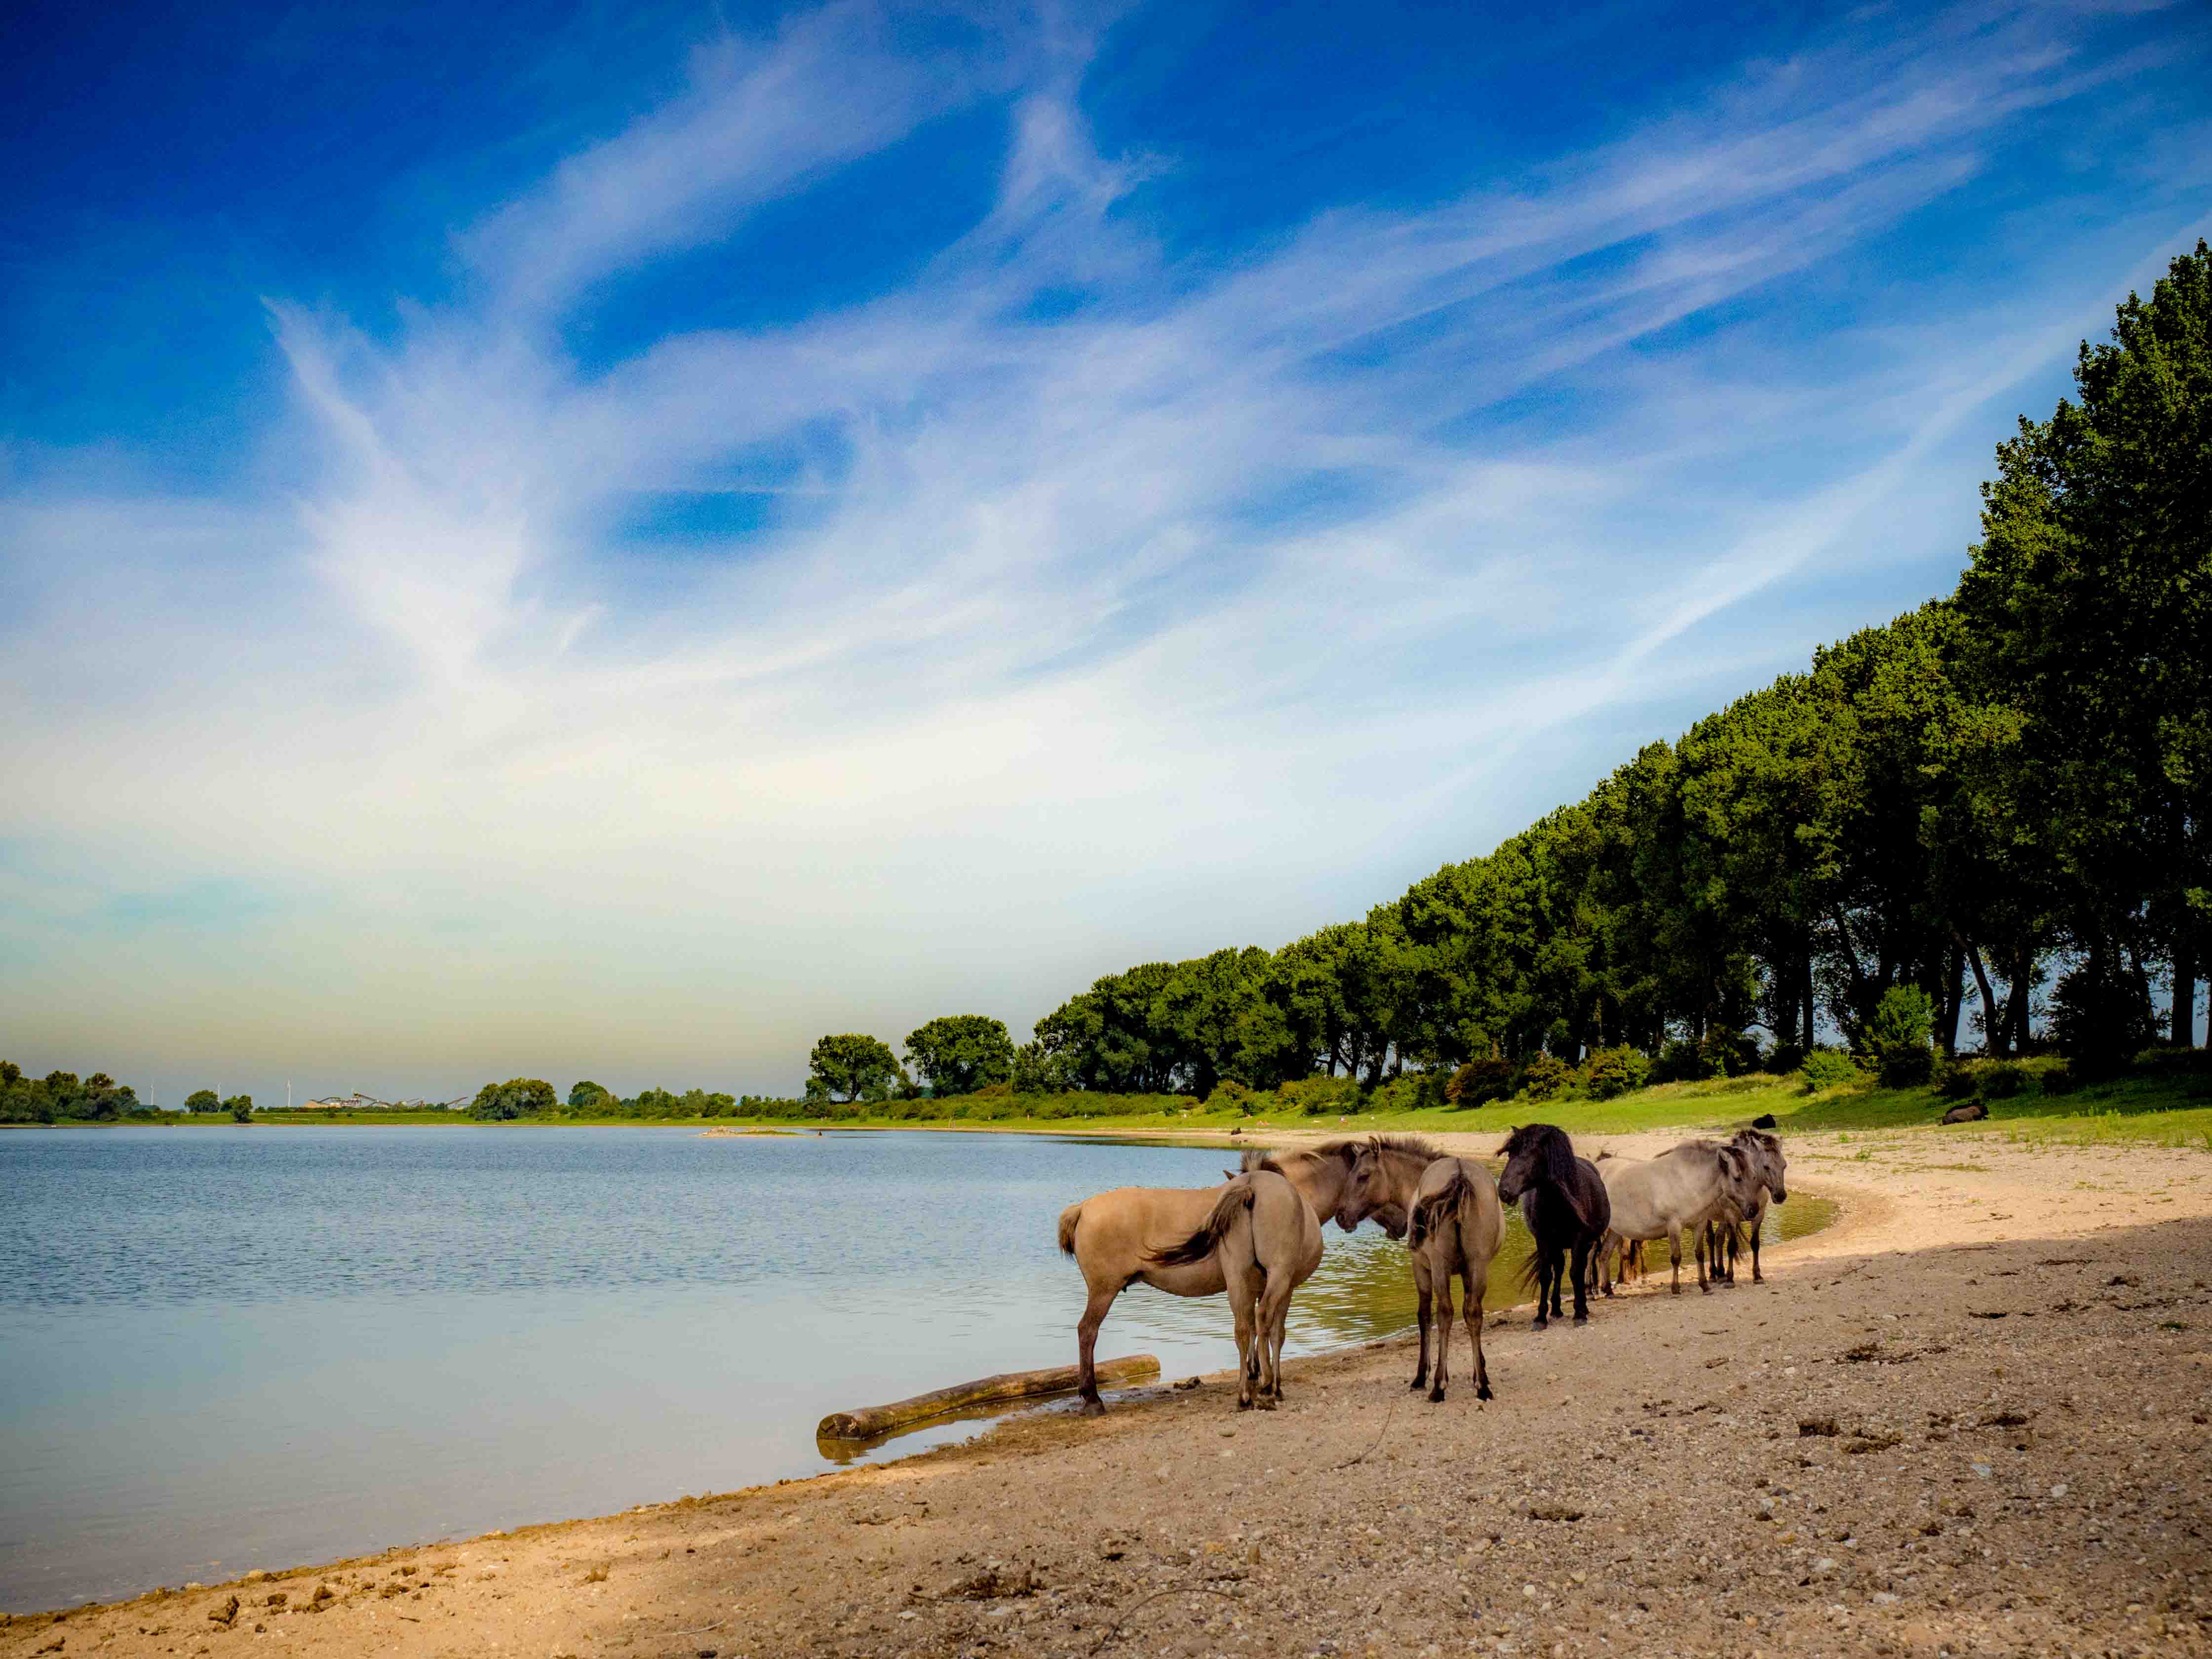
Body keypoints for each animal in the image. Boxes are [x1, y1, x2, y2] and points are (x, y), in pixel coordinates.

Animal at [1058, 1168, 1321, 1412]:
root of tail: (1083, 1208)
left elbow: (1255, 1332)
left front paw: (1255, 1378)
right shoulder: (1284, 1287)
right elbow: (1275, 1334)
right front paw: (1272, 1385)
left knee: (1244, 1328)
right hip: (1103, 1291)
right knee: (1088, 1331)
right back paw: (1093, 1399)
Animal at [1338, 1139, 1503, 1401]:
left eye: (1363, 1176)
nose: (1341, 1216)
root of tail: (1459, 1175)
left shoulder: (1421, 1267)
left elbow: (1424, 1315)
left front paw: (1421, 1376)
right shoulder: (1470, 1270)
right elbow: (1470, 1314)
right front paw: (1481, 1373)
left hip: (1439, 1266)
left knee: (1445, 1313)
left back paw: (1438, 1386)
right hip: (1478, 1264)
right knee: (1473, 1312)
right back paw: (1482, 1389)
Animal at [1494, 1123, 1611, 1327]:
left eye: (1531, 1155)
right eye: (1510, 1154)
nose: (1504, 1191)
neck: (1558, 1202)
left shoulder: (1578, 1240)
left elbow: (1575, 1273)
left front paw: (1579, 1314)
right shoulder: (1544, 1239)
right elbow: (1546, 1275)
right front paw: (1541, 1317)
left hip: (1585, 1244)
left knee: (1579, 1269)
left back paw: (1583, 1307)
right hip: (1557, 1245)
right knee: (1559, 1269)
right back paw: (1556, 1309)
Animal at [1593, 1139, 1761, 1294]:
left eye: (1754, 1177)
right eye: (1737, 1178)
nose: (1754, 1210)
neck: (1686, 1181)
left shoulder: (1700, 1225)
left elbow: (1700, 1254)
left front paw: (1705, 1286)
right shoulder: (1674, 1226)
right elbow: (1676, 1258)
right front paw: (1675, 1288)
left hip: (1615, 1230)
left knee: (1604, 1255)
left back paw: (1608, 1290)